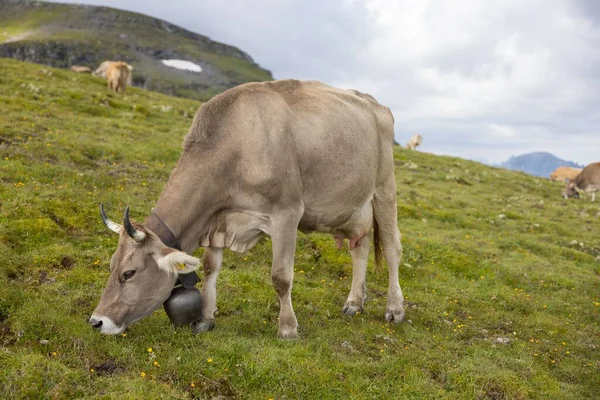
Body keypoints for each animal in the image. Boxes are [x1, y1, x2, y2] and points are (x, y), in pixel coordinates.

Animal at [90, 80, 408, 338]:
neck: (237, 144)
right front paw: (205, 318)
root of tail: (375, 103)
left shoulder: (286, 213)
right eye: (111, 266)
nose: (97, 321)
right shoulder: (219, 220)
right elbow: (210, 267)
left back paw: (395, 309)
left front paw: (288, 328)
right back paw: (354, 302)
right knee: (360, 247)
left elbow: (281, 276)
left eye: (129, 273)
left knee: (392, 249)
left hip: (384, 189)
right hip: (354, 207)